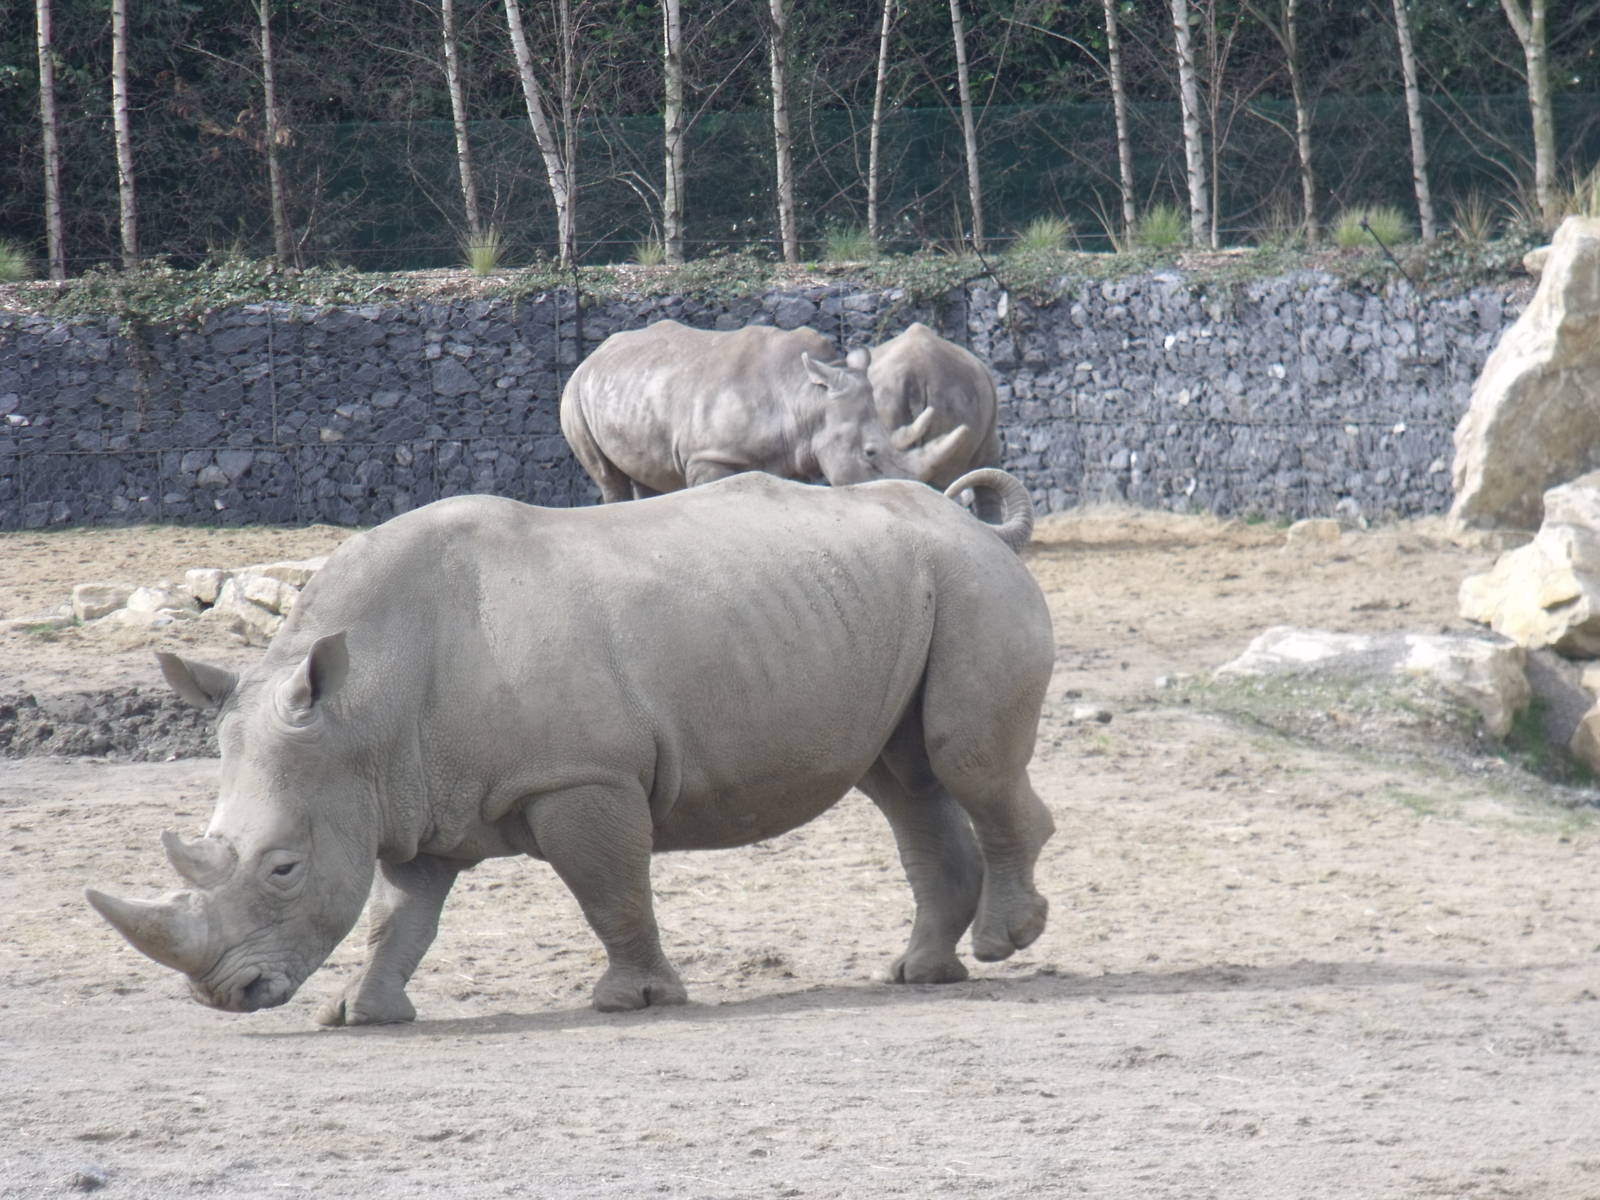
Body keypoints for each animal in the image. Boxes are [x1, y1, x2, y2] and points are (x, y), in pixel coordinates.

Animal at [85, 469, 1055, 1025]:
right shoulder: (404, 790)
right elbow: (400, 913)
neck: (362, 705)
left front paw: (635, 1002)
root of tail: (977, 525)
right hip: (891, 595)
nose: (224, 996)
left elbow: (608, 888)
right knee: (903, 782)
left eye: (282, 869)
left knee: (961, 759)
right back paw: (919, 975)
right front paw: (362, 1013)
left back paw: (1003, 945)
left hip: (970, 583)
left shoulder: (578, 775)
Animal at [559, 319, 973, 501]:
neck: (806, 397)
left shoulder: (789, 456)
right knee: (606, 476)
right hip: (574, 392)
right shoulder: (709, 457)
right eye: (871, 453)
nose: (910, 495)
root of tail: (596, 354)